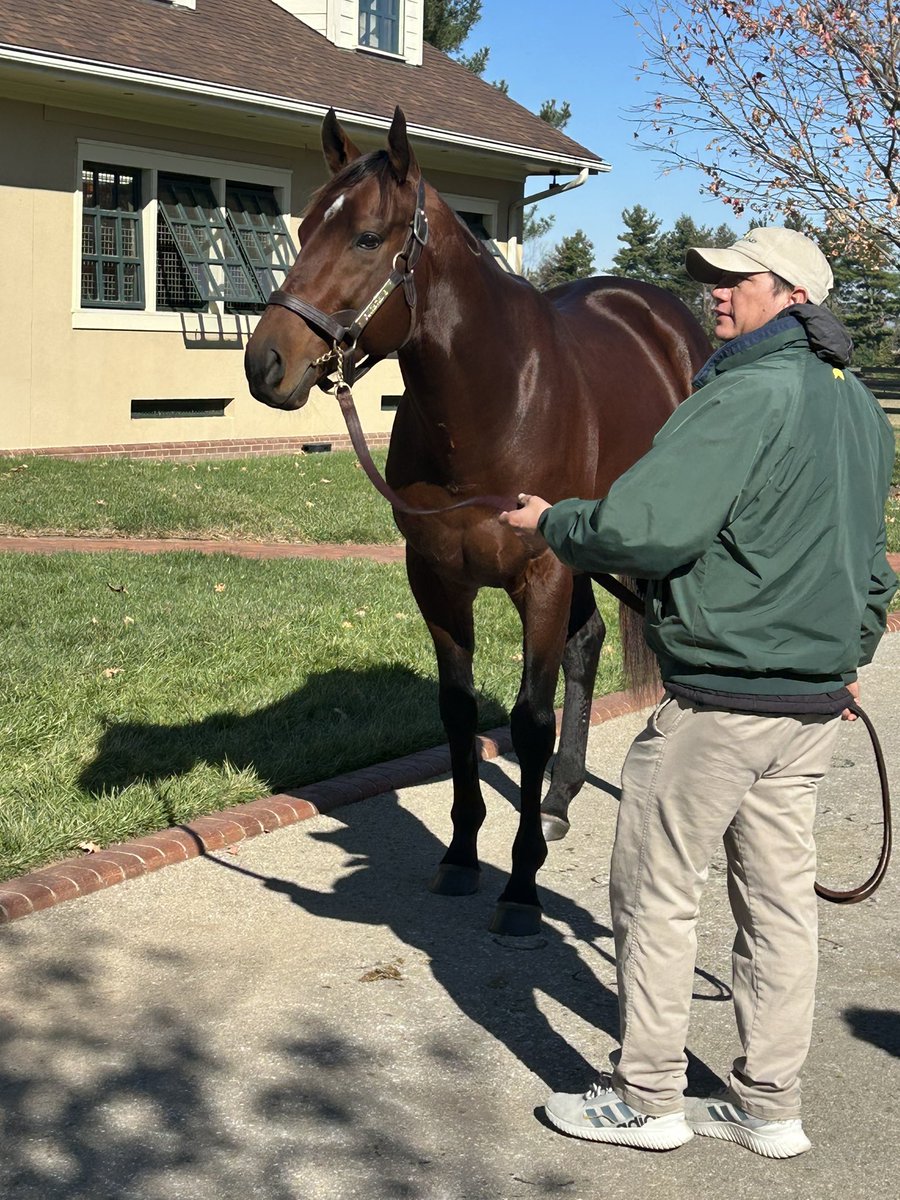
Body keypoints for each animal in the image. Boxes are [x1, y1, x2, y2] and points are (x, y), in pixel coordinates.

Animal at [244, 107, 712, 937]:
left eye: (367, 238)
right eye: (302, 229)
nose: (266, 363)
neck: (491, 407)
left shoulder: (542, 574)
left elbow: (528, 720)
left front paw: (522, 887)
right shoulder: (437, 580)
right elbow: (459, 713)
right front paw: (462, 855)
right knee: (587, 646)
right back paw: (559, 798)